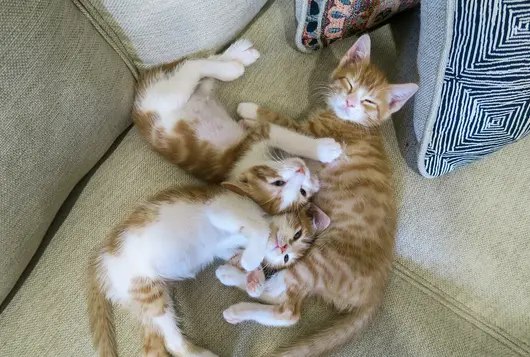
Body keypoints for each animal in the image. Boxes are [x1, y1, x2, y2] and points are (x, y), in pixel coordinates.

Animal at [87, 184, 330, 356]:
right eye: (297, 234)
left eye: (287, 258)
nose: (283, 249)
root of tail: (101, 264)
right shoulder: (222, 208)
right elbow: (260, 229)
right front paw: (253, 261)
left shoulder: (224, 248)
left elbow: (235, 255)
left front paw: (255, 278)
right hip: (146, 288)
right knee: (173, 342)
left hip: (147, 297)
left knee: (155, 346)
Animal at [131, 40, 338, 216]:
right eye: (278, 183)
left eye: (302, 191)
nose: (302, 171)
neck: (246, 164)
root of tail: (138, 106)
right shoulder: (260, 136)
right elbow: (294, 139)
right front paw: (326, 149)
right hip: (169, 98)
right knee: (193, 65)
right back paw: (233, 68)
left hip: (192, 91)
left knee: (201, 65)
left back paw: (239, 55)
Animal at [214, 34, 416, 356]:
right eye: (349, 84)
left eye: (369, 101)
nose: (350, 102)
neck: (357, 124)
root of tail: (376, 293)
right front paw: (249, 123)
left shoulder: (309, 132)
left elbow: (279, 125)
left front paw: (250, 112)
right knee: (282, 298)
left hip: (317, 262)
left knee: (288, 309)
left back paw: (234, 286)